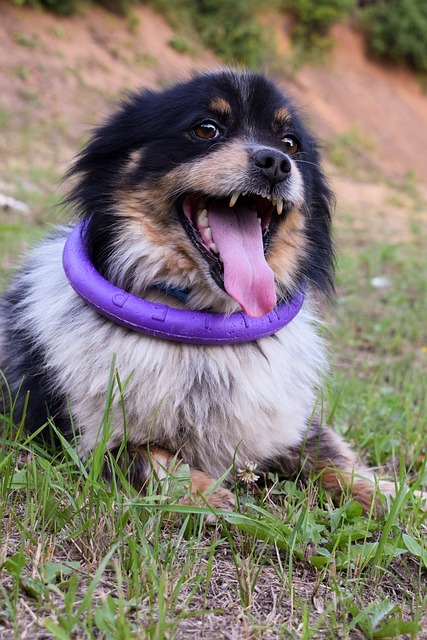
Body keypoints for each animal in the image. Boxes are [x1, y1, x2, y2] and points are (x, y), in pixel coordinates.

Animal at [0, 69, 402, 510]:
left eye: (290, 143)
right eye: (206, 129)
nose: (276, 163)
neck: (204, 326)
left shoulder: (287, 423)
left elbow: (329, 452)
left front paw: (389, 493)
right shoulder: (81, 438)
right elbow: (146, 455)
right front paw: (208, 496)